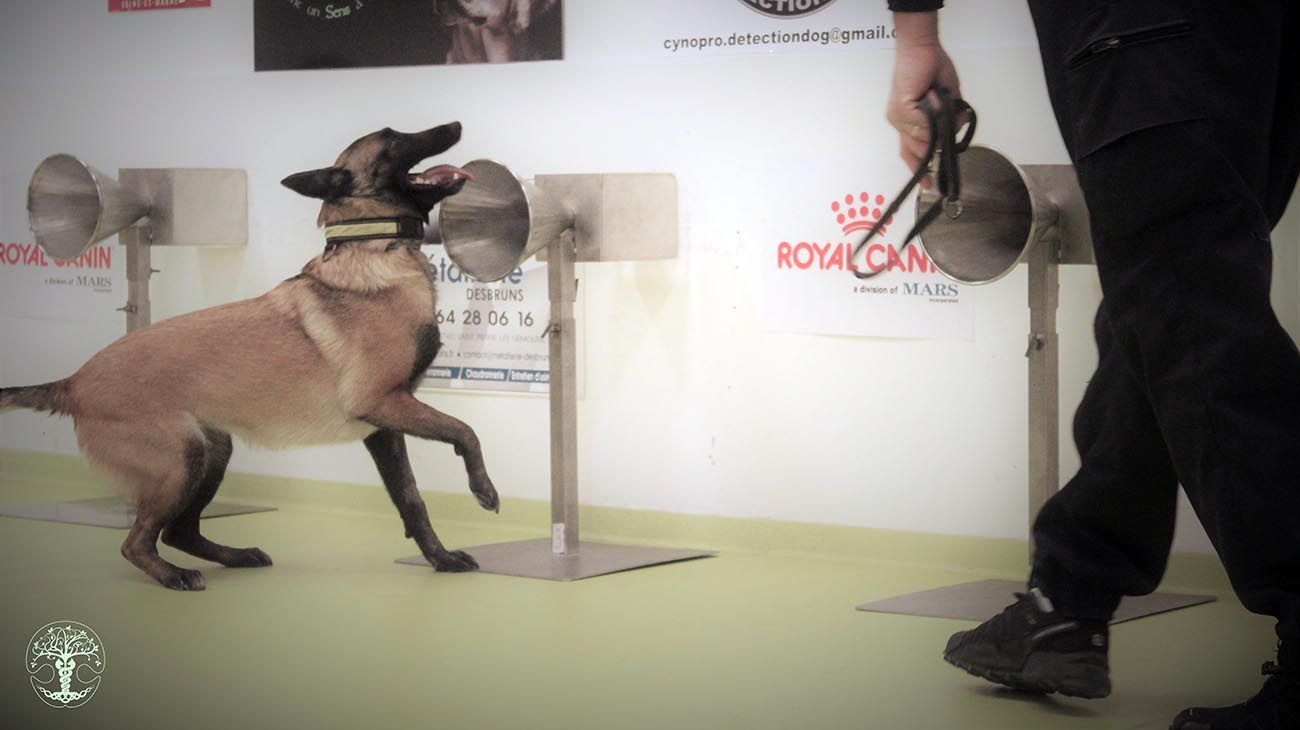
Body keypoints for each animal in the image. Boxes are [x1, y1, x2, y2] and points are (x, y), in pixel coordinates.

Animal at [0, 122, 499, 587]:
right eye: (393, 138)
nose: (455, 125)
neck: (375, 247)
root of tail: (73, 382)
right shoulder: (382, 403)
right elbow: (466, 431)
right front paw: (484, 489)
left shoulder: (384, 425)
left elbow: (412, 500)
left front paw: (441, 558)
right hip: (181, 460)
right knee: (137, 542)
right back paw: (174, 576)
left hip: (212, 451)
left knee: (180, 531)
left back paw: (235, 556)